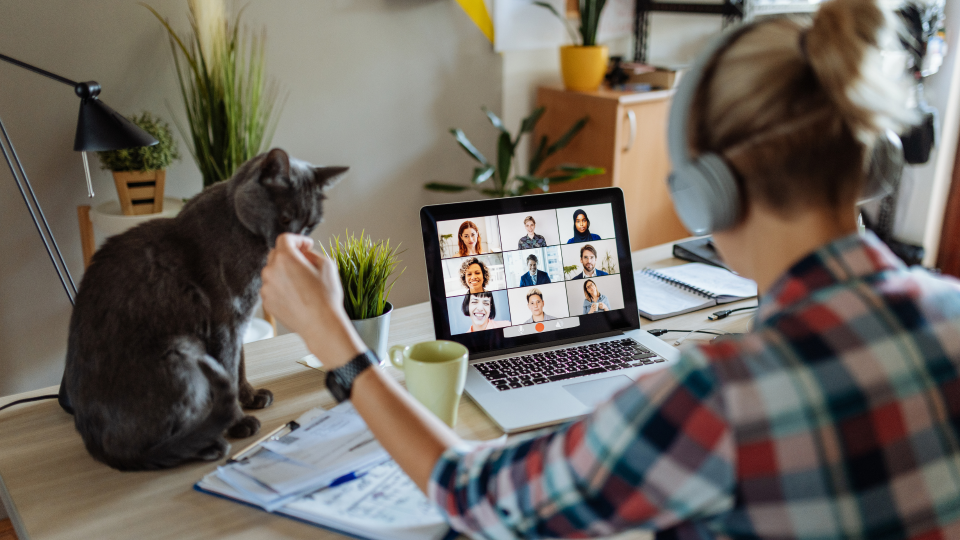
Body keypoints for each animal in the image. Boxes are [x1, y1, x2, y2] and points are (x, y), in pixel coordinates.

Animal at [62, 150, 344, 470]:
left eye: (310, 224)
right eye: (285, 217)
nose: (297, 240)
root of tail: (95, 446)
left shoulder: (240, 319)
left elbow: (239, 364)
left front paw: (250, 395)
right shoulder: (225, 319)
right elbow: (228, 368)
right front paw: (239, 422)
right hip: (182, 353)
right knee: (147, 448)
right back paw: (208, 443)